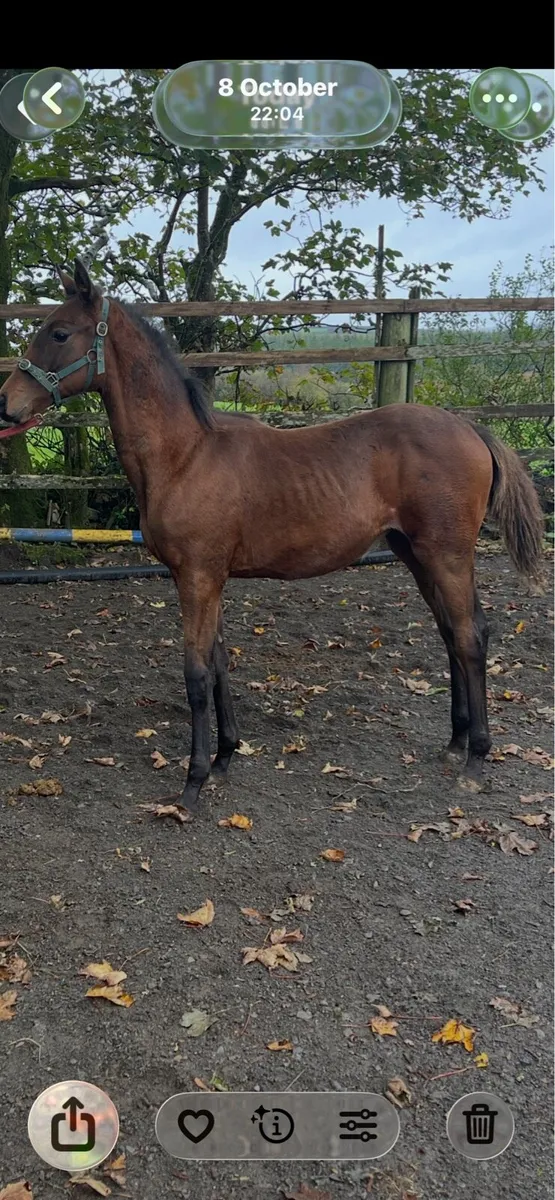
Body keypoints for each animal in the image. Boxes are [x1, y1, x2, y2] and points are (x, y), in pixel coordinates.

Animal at [0, 258, 545, 812]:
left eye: (59, 332)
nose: (6, 404)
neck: (186, 455)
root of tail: (471, 428)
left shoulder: (197, 577)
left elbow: (196, 673)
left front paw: (193, 783)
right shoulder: (208, 578)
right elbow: (219, 662)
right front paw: (224, 759)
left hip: (447, 554)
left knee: (470, 635)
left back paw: (475, 762)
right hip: (415, 554)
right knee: (452, 633)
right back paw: (455, 744)